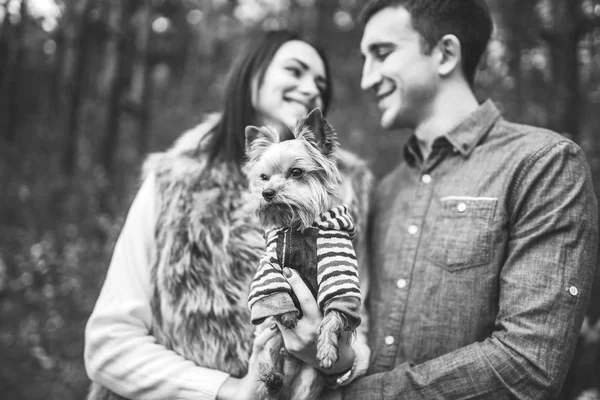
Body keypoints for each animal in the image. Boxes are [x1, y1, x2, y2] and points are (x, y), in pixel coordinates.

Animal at [243, 108, 360, 398]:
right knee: (267, 362)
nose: (267, 192)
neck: (297, 225)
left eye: (296, 172)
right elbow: (273, 292)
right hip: (268, 345)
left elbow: (334, 313)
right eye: (263, 177)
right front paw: (286, 314)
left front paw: (327, 350)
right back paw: (271, 378)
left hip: (308, 380)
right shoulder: (270, 265)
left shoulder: (339, 269)